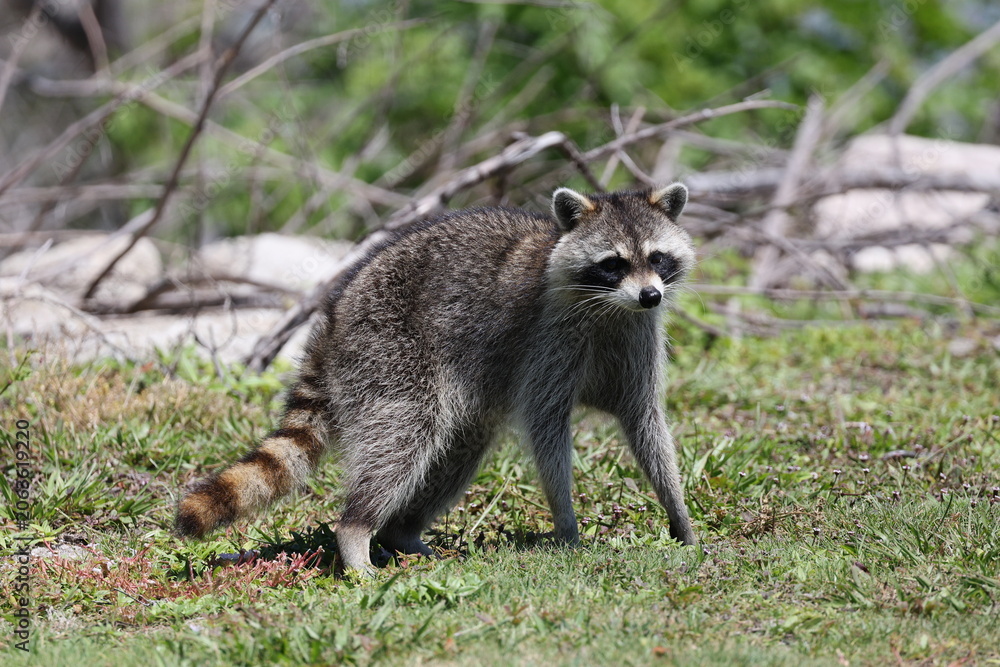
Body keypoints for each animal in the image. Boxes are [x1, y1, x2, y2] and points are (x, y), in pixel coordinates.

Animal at [176, 183, 698, 571]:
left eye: (657, 257)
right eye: (613, 264)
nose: (651, 295)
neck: (611, 307)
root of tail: (334, 317)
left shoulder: (636, 338)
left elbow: (645, 422)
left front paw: (678, 512)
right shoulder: (549, 339)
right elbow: (547, 428)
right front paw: (566, 522)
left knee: (459, 444)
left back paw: (401, 532)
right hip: (388, 350)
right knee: (407, 435)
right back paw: (357, 531)